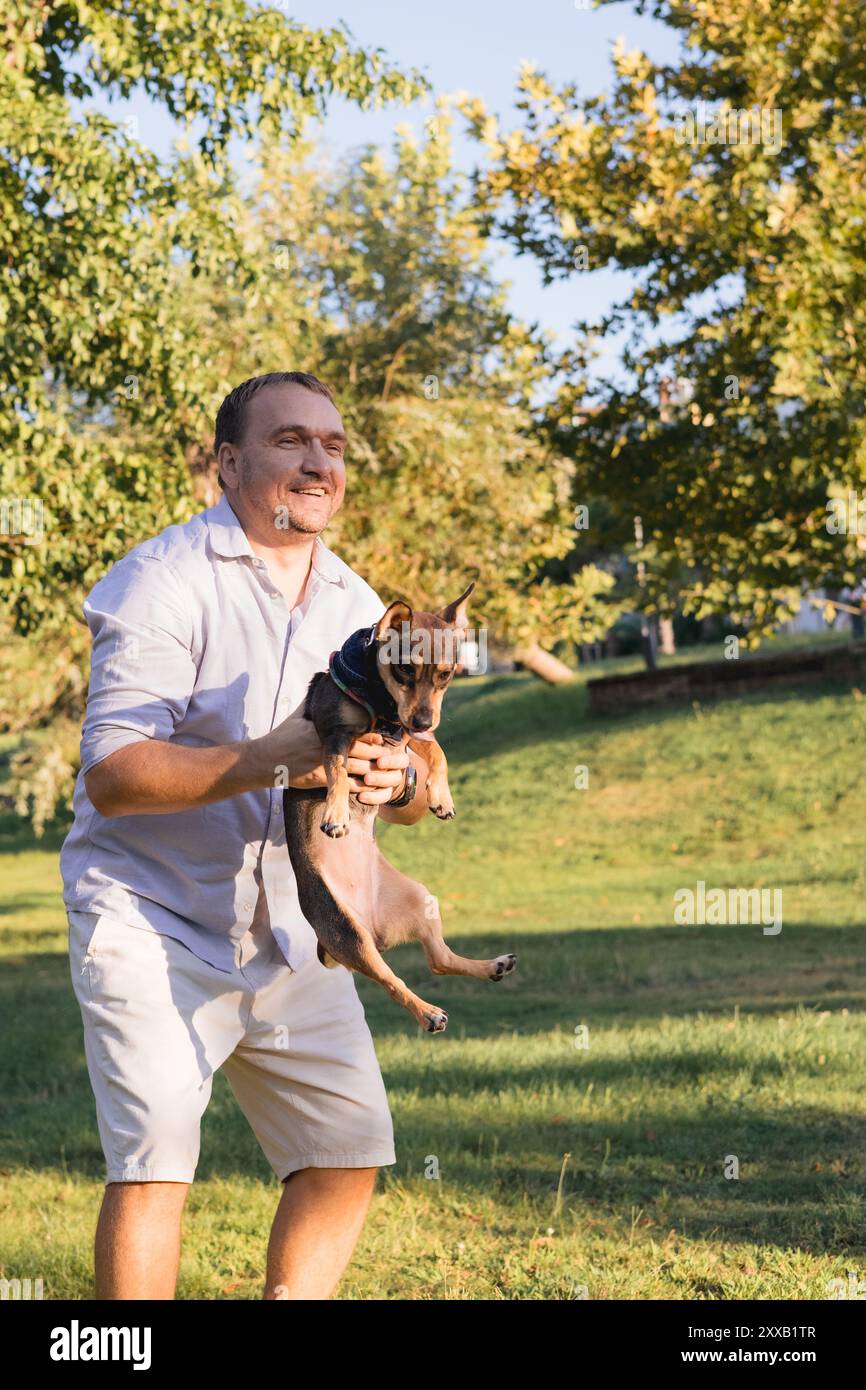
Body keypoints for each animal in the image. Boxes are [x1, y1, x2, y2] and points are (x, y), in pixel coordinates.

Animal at [283, 581, 514, 1028]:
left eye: (446, 675)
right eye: (405, 670)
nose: (424, 719)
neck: (384, 705)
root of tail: (375, 927)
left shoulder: (410, 739)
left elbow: (439, 753)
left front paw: (441, 798)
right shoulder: (335, 733)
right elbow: (337, 770)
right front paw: (335, 814)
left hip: (421, 901)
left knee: (439, 961)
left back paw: (491, 966)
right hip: (348, 932)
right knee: (392, 980)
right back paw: (427, 1012)